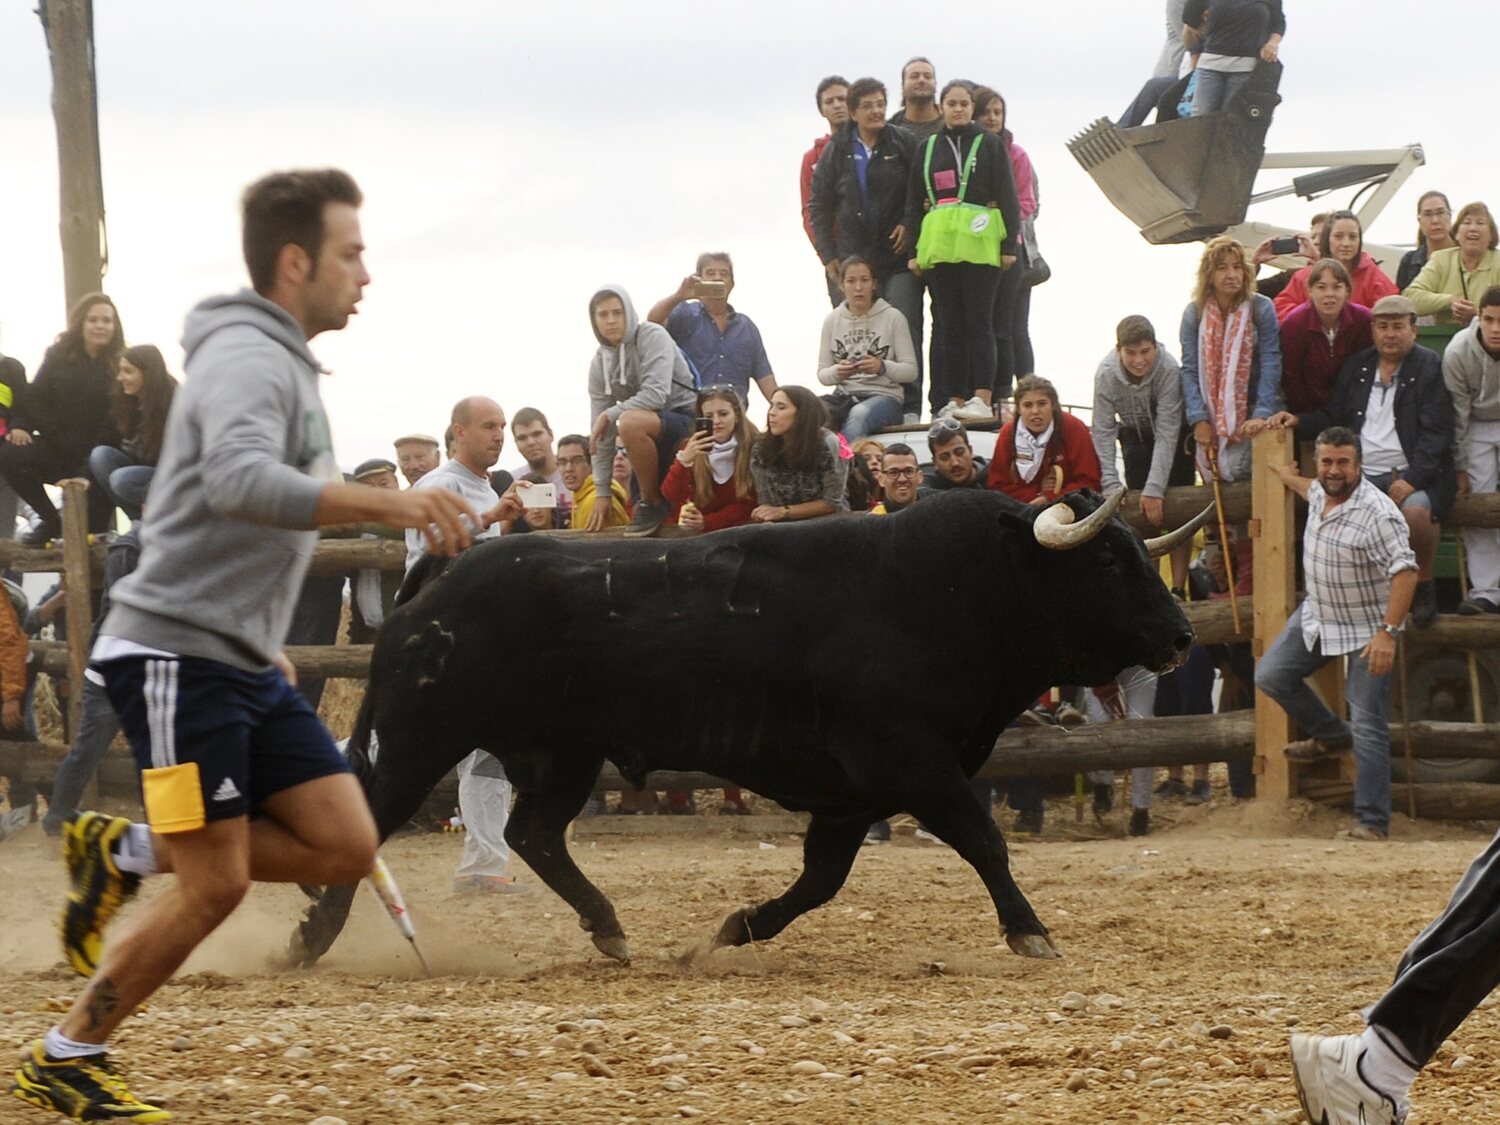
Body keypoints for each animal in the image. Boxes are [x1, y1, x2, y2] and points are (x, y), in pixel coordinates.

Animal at [295, 492, 1194, 972]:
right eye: (1106, 561)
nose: (1184, 634)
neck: (946, 589)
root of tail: (442, 574)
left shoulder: (851, 797)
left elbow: (821, 880)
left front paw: (736, 927)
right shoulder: (916, 764)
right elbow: (984, 840)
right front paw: (1029, 930)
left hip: (566, 753)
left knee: (536, 833)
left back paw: (611, 928)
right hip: (421, 740)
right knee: (384, 823)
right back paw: (309, 940)